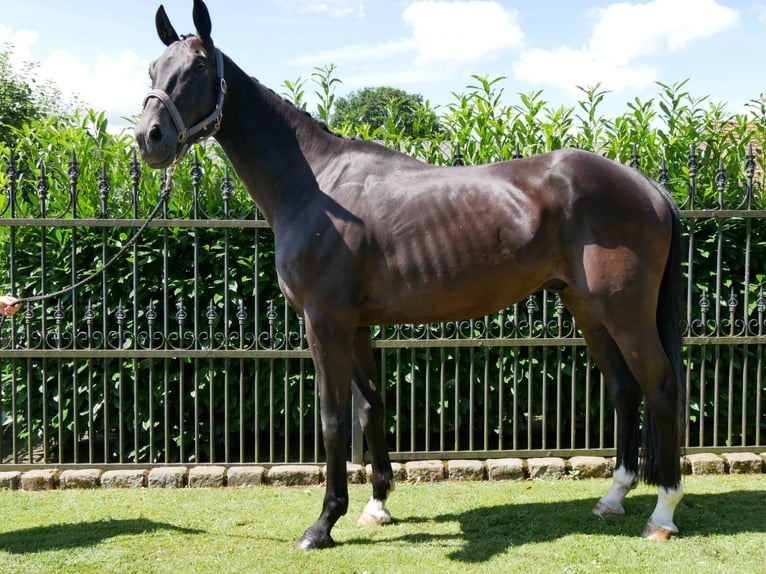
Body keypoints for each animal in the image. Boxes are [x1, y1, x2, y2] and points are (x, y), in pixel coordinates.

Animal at [135, 0, 688, 552]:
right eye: (153, 69)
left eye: (199, 67)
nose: (149, 137)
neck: (315, 185)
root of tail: (648, 186)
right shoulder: (356, 326)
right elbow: (370, 409)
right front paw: (377, 505)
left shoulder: (325, 323)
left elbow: (333, 420)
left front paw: (322, 524)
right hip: (586, 307)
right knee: (623, 389)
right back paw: (613, 497)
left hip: (625, 312)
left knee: (660, 387)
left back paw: (662, 513)